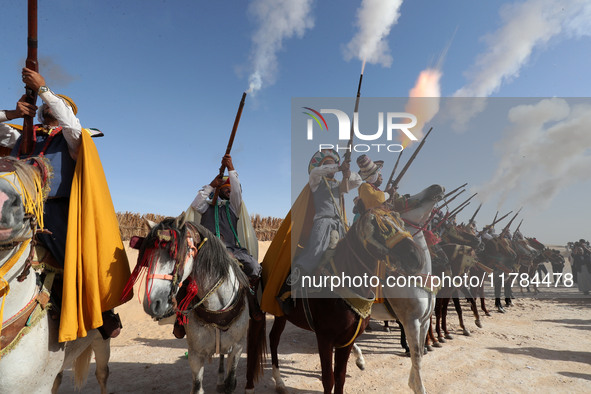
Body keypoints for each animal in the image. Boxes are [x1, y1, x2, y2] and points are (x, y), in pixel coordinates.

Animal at [139, 217, 250, 392]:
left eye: (174, 254)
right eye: (148, 257)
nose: (151, 303)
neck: (217, 308)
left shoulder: (238, 348)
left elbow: (230, 383)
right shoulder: (195, 354)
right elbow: (197, 387)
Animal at [245, 209, 426, 394]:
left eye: (401, 223)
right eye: (383, 228)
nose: (417, 257)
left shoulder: (347, 341)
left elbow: (340, 377)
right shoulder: (325, 339)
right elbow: (328, 379)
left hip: (281, 315)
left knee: (274, 338)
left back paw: (279, 382)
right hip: (258, 313)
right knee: (253, 344)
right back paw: (250, 386)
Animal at [354, 185, 442, 394]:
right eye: (407, 196)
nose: (435, 187)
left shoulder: (424, 321)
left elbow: (420, 353)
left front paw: (413, 383)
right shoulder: (411, 321)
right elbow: (416, 355)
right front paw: (418, 387)